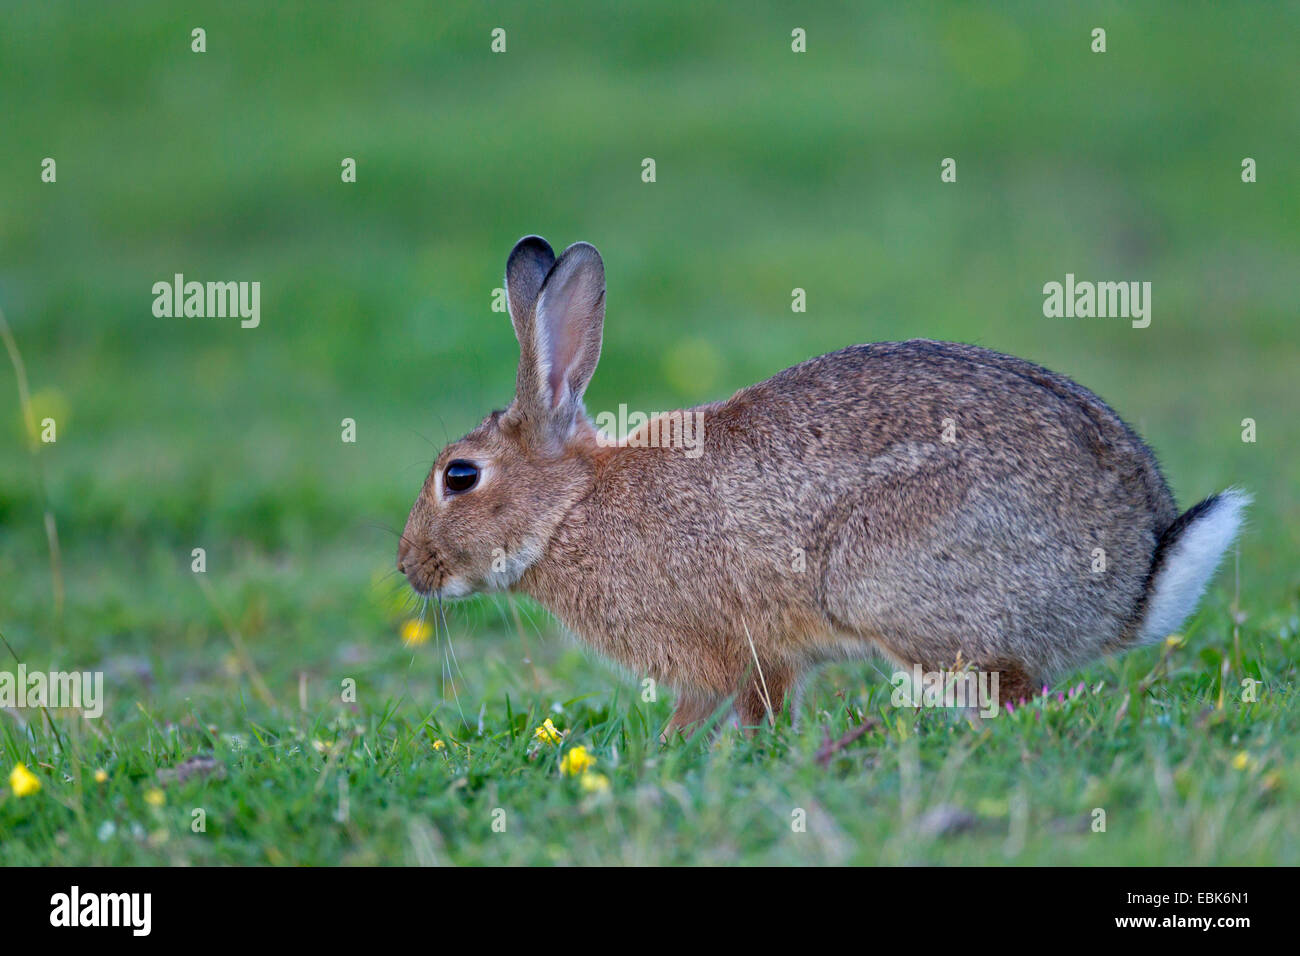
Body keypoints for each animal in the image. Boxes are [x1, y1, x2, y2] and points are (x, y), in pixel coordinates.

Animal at [397, 235, 1248, 728]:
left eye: (459, 477)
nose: (408, 569)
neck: (570, 509)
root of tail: (1133, 581)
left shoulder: (726, 649)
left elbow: (733, 709)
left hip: (890, 582)